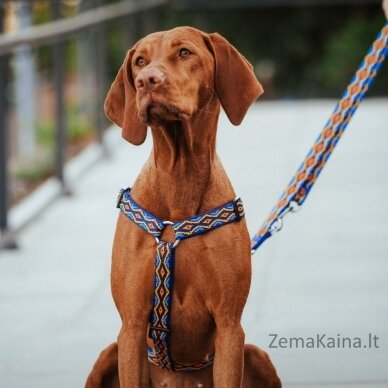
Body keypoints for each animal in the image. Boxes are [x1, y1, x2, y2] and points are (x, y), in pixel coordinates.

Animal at [86, 25, 280, 386]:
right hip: (108, 353)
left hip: (256, 354)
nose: (146, 80)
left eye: (185, 52)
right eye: (139, 61)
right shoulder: (131, 326)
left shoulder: (230, 325)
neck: (180, 177)